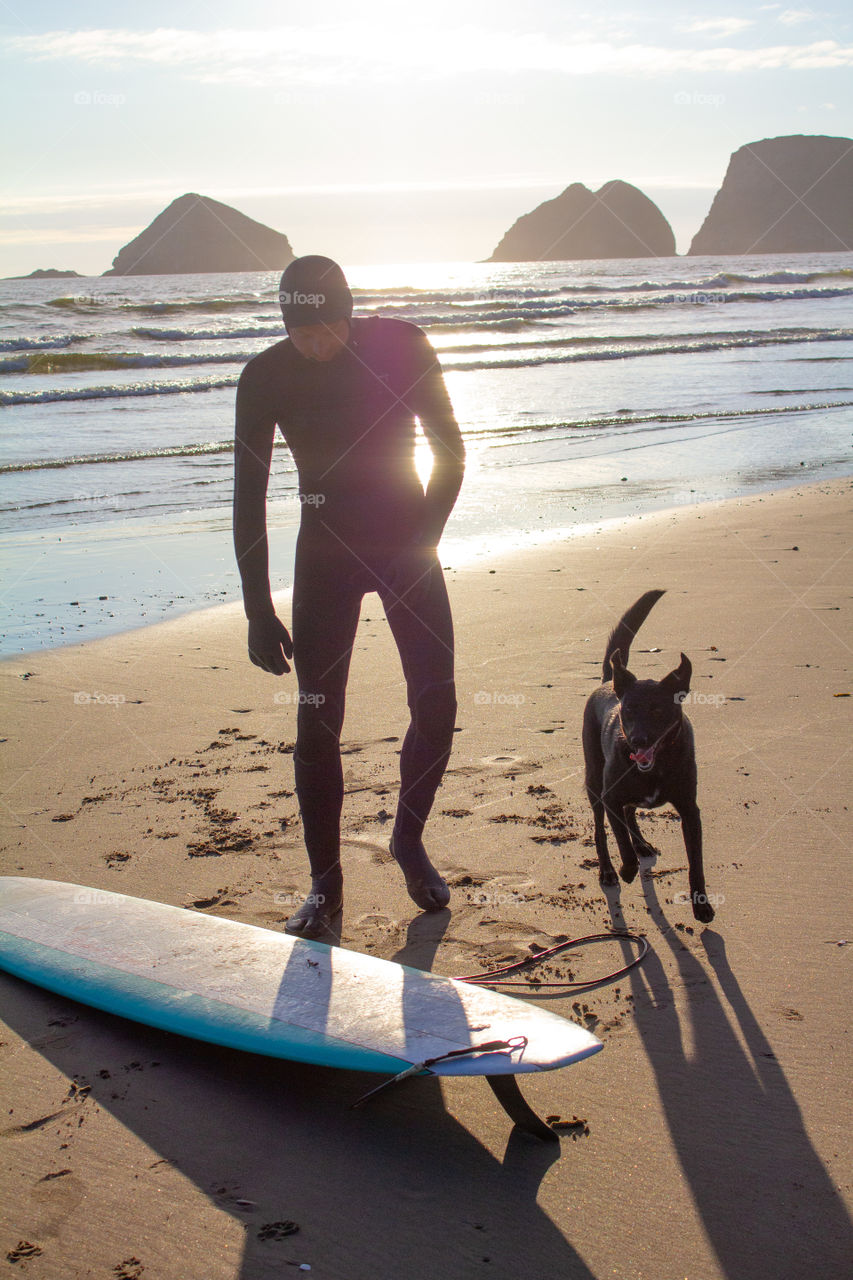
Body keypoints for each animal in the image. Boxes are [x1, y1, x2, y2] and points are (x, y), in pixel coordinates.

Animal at [581, 588, 712, 921]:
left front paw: (702, 905)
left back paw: (641, 845)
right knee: (601, 830)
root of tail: (609, 681)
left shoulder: (690, 810)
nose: (638, 740)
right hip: (594, 782)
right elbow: (620, 842)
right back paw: (609, 871)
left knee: (630, 812)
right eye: (628, 710)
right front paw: (627, 870)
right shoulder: (610, 796)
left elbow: (696, 862)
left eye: (657, 710)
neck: (656, 766)